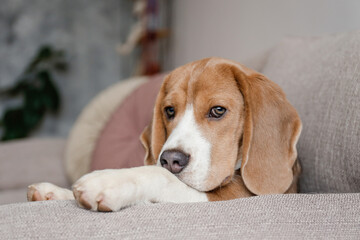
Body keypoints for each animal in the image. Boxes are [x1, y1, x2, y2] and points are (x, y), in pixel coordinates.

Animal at [27, 57, 300, 211]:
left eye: (218, 110)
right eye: (169, 110)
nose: (171, 160)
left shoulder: (234, 196)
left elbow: (159, 175)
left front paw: (108, 181)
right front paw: (54, 192)